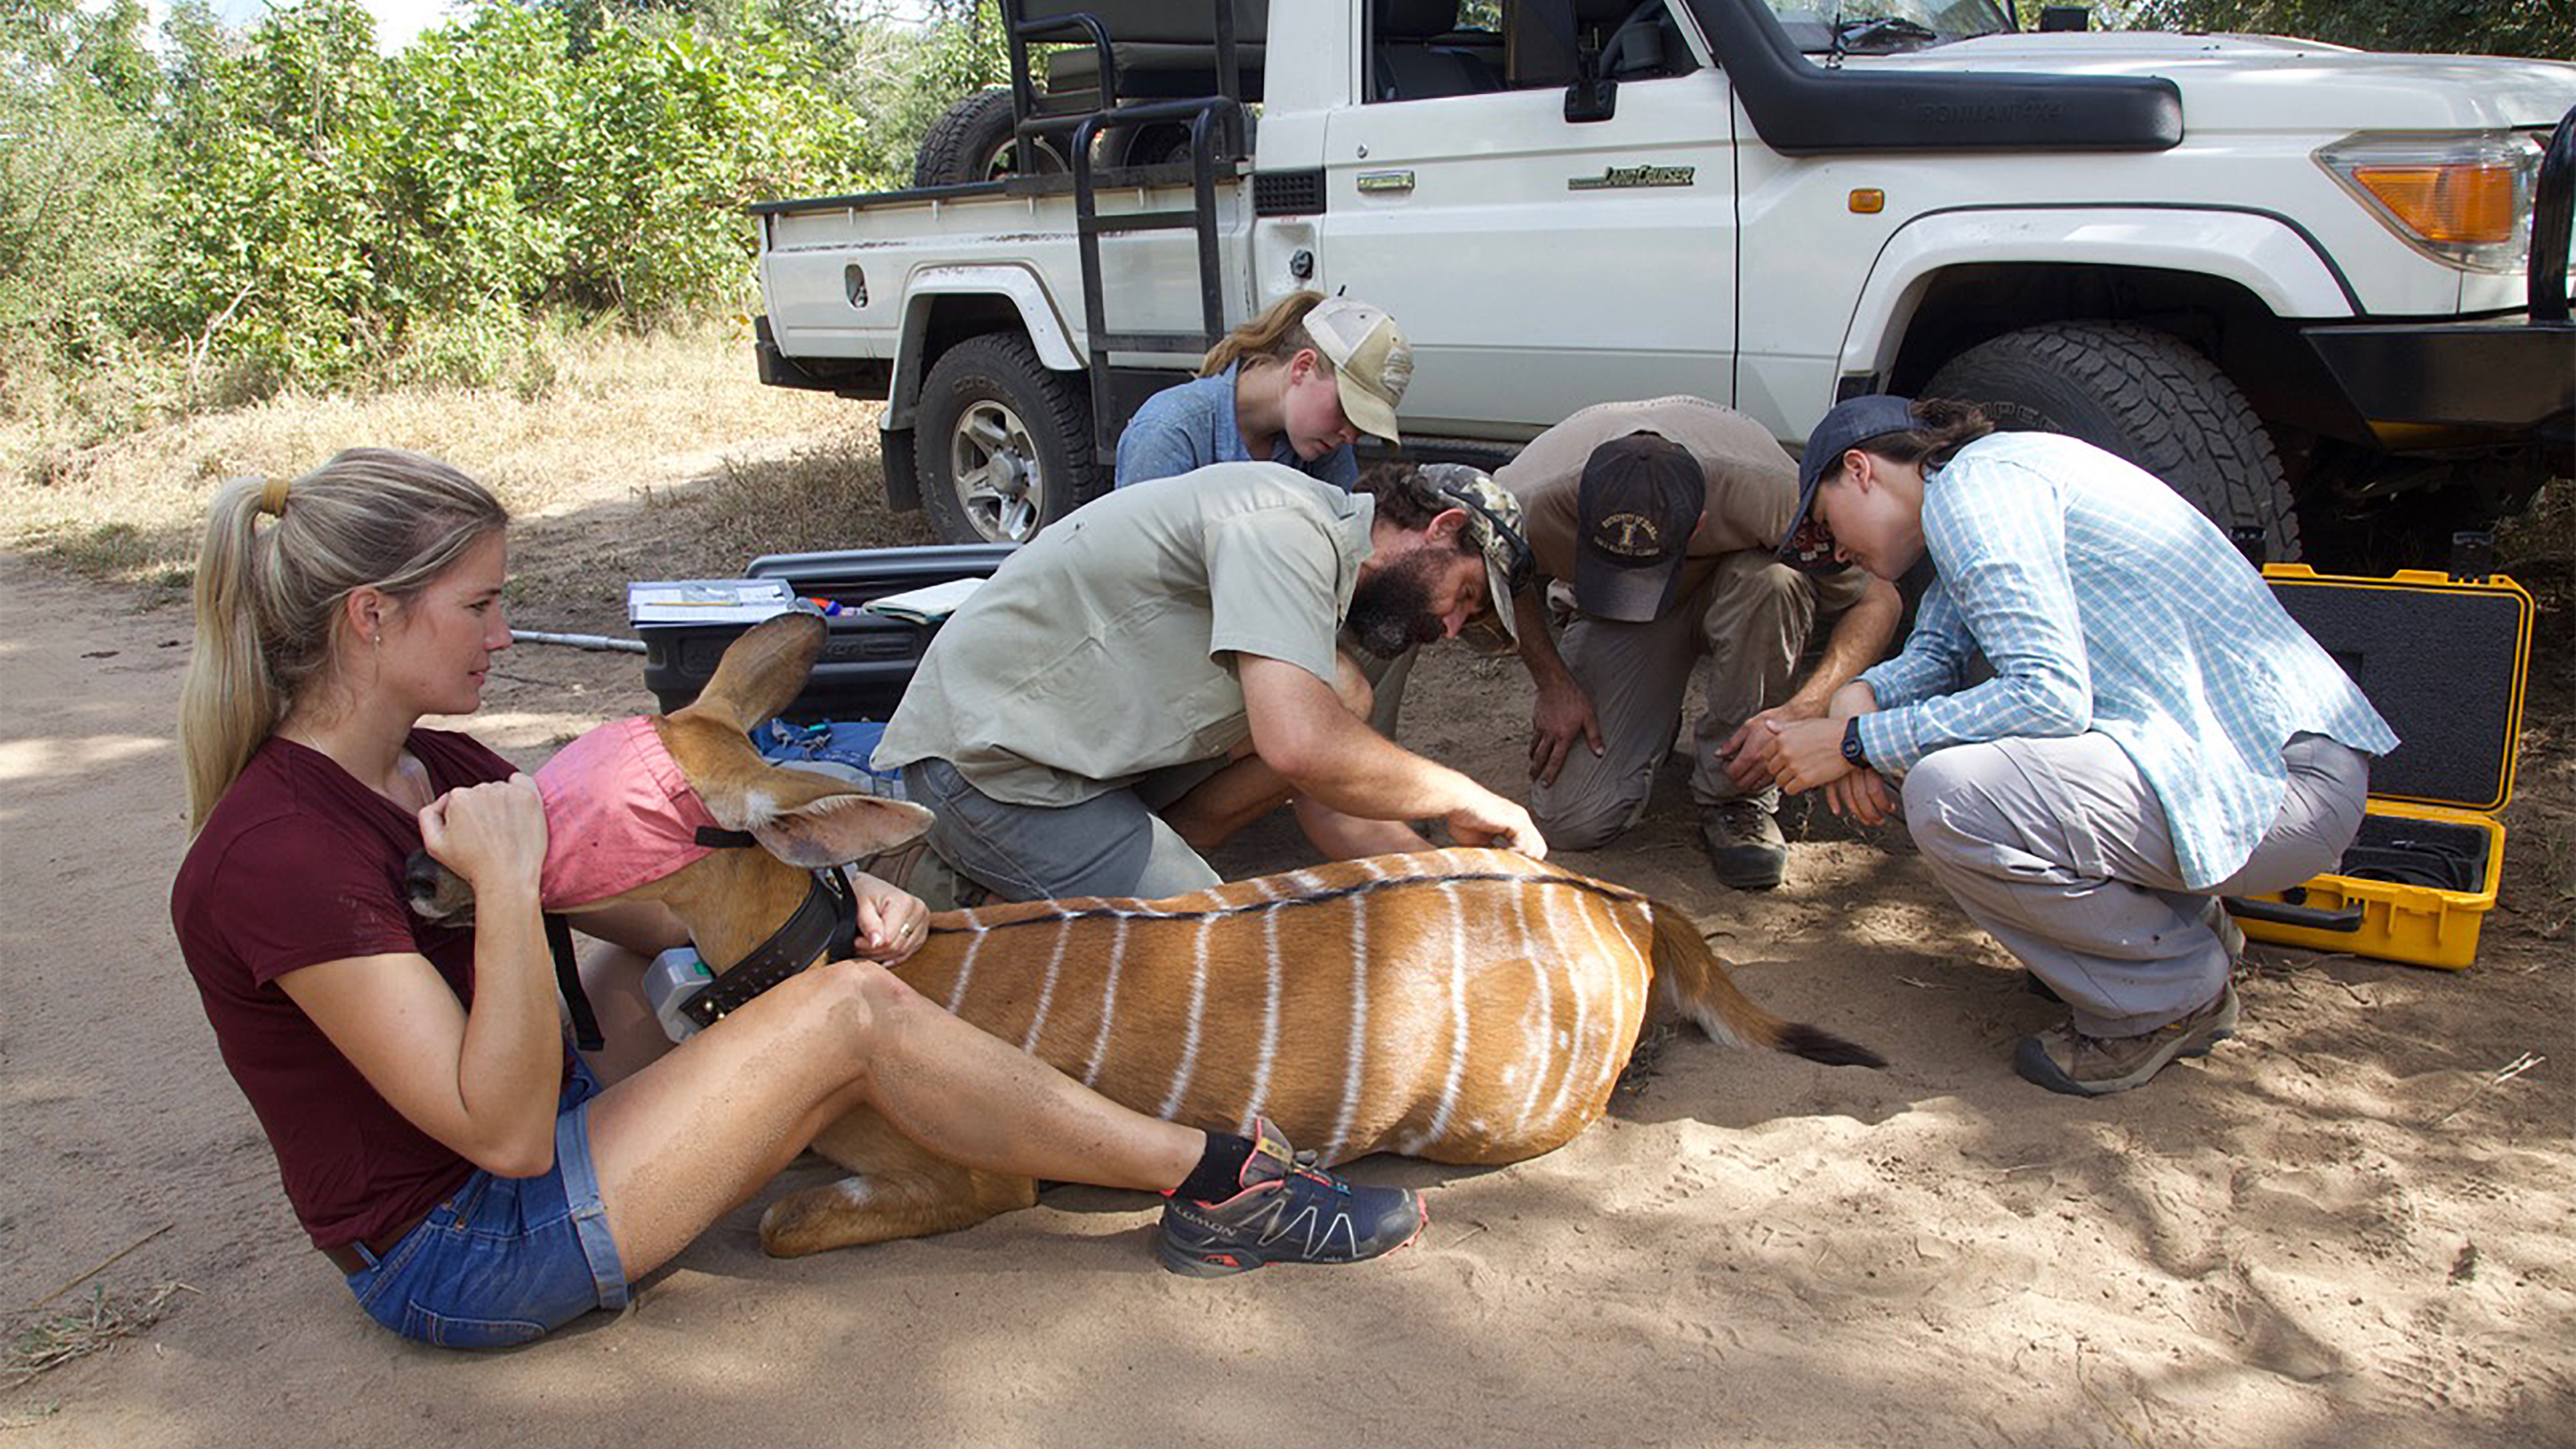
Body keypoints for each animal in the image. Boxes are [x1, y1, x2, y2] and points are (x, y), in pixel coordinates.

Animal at [412, 608, 1886, 1253]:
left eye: (571, 807)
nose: (431, 877)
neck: (849, 969)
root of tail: (1622, 907)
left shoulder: (973, 1178)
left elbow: (782, 1221)